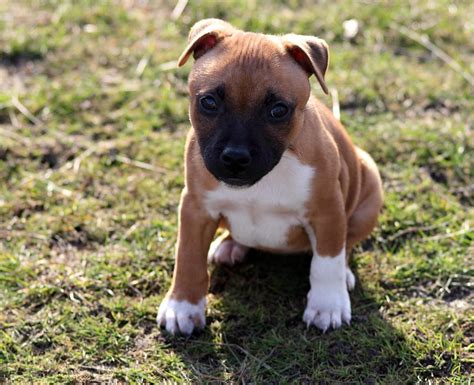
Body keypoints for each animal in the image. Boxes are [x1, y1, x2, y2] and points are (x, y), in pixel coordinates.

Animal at [157, 19, 384, 334]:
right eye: (209, 102)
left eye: (279, 110)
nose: (235, 157)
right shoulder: (195, 208)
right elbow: (188, 257)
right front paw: (183, 306)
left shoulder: (327, 210)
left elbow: (327, 261)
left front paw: (327, 305)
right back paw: (230, 245)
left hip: (369, 184)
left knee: (346, 243)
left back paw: (345, 275)